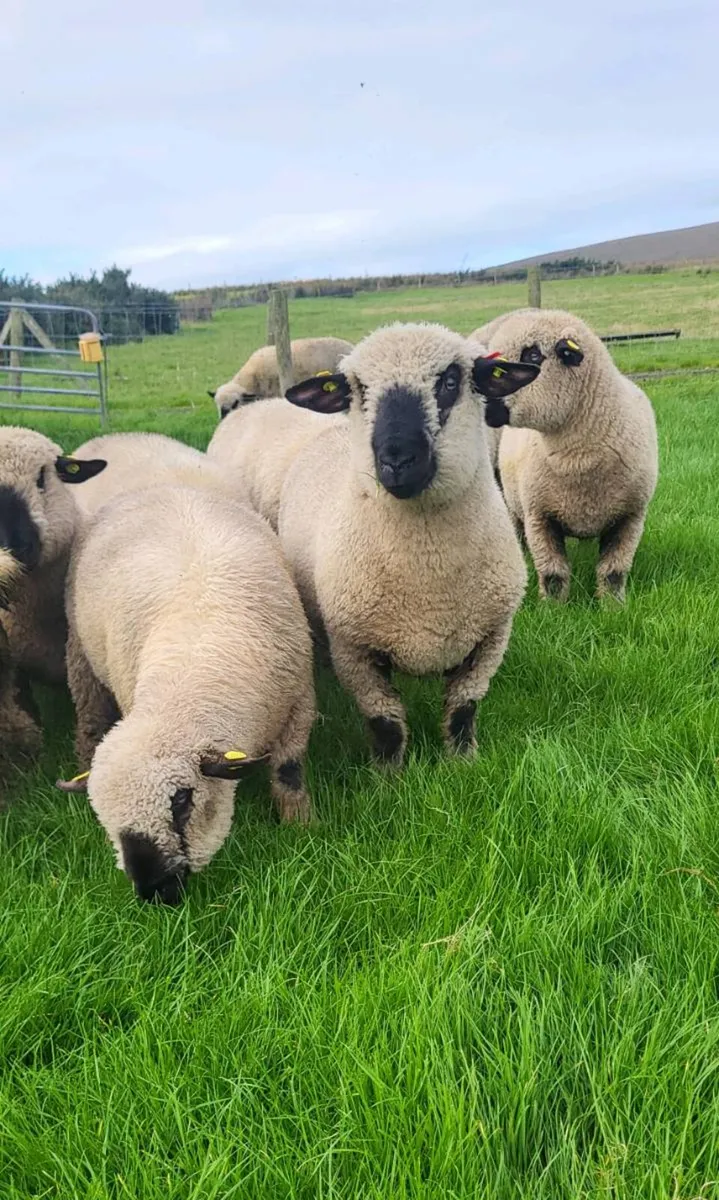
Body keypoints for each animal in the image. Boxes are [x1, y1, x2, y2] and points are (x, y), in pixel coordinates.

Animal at [57, 483, 315, 904]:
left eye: (181, 799)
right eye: (105, 821)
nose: (155, 891)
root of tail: (161, 486)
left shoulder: (299, 706)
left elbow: (288, 773)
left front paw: (301, 826)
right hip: (81, 652)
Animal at [275, 322, 539, 767]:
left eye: (449, 381)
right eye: (359, 390)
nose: (397, 459)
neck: (428, 579)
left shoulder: (490, 638)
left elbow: (463, 709)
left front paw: (462, 762)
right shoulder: (355, 649)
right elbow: (386, 723)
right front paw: (389, 775)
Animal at [477, 307, 658, 602]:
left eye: (533, 356)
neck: (579, 458)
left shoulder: (630, 516)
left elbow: (613, 572)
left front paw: (613, 605)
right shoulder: (539, 515)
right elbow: (553, 574)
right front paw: (554, 607)